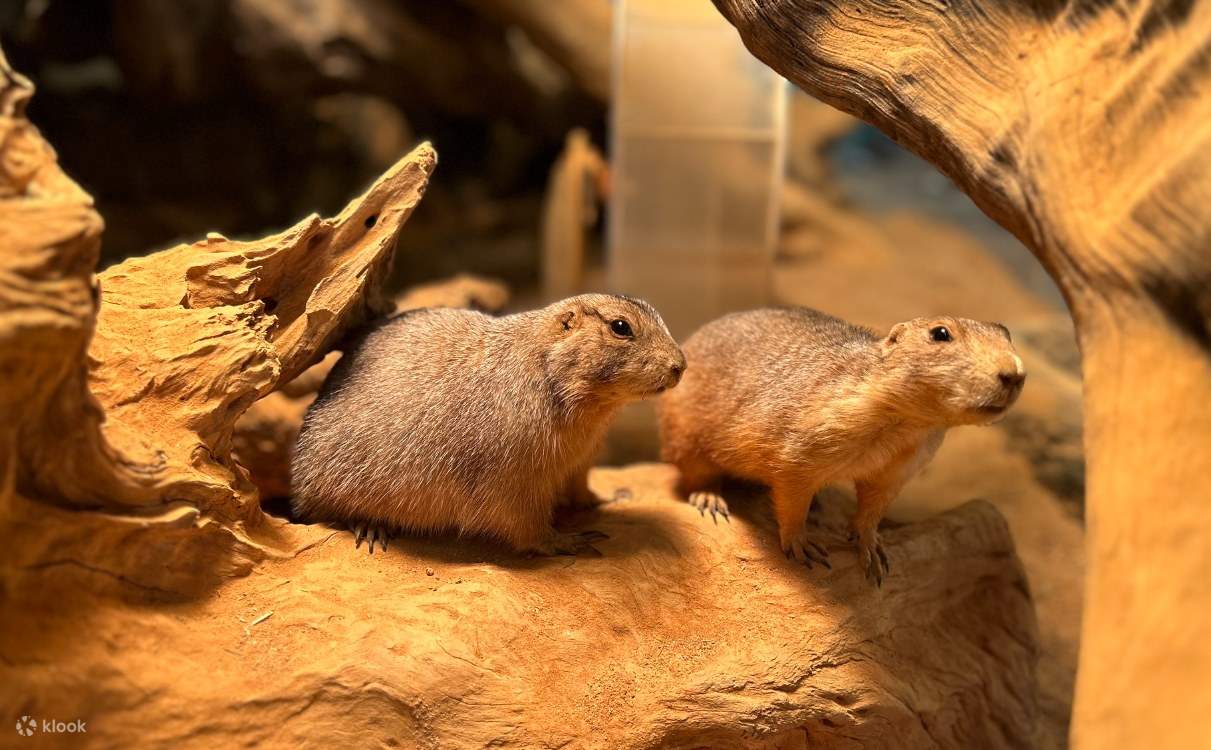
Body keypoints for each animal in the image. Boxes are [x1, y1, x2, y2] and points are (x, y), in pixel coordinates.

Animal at [292, 294, 685, 556]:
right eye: (621, 326)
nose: (680, 365)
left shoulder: (582, 458)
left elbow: (580, 487)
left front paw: (605, 499)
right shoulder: (515, 472)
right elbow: (523, 522)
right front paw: (571, 541)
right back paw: (372, 529)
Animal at [658, 307, 1025, 585]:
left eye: (1006, 332)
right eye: (940, 333)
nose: (1015, 374)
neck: (904, 427)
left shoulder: (898, 470)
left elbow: (872, 509)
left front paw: (873, 550)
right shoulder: (799, 452)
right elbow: (791, 500)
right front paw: (804, 547)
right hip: (686, 437)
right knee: (695, 474)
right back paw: (710, 500)